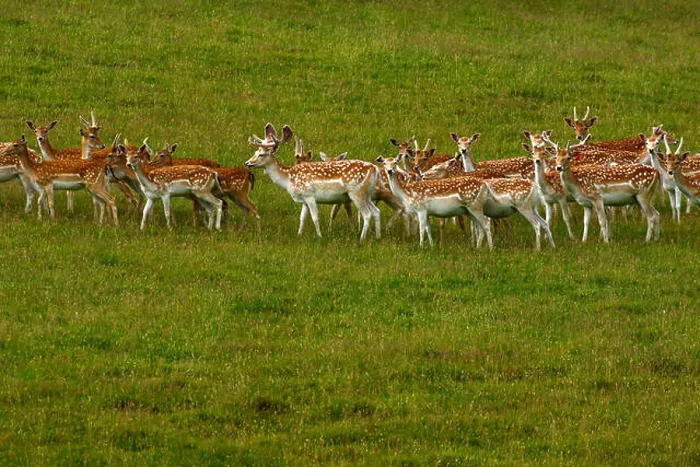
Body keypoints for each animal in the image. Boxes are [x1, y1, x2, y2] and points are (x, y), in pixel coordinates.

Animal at [245, 123, 381, 241]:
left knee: (367, 214)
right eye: (255, 152)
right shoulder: (304, 199)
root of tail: (375, 169)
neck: (288, 179)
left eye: (261, 154)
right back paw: (378, 236)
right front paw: (299, 235)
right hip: (367, 194)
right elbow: (302, 218)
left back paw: (362, 239)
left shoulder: (309, 195)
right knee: (376, 211)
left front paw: (320, 236)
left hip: (356, 193)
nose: (247, 163)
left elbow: (315, 218)